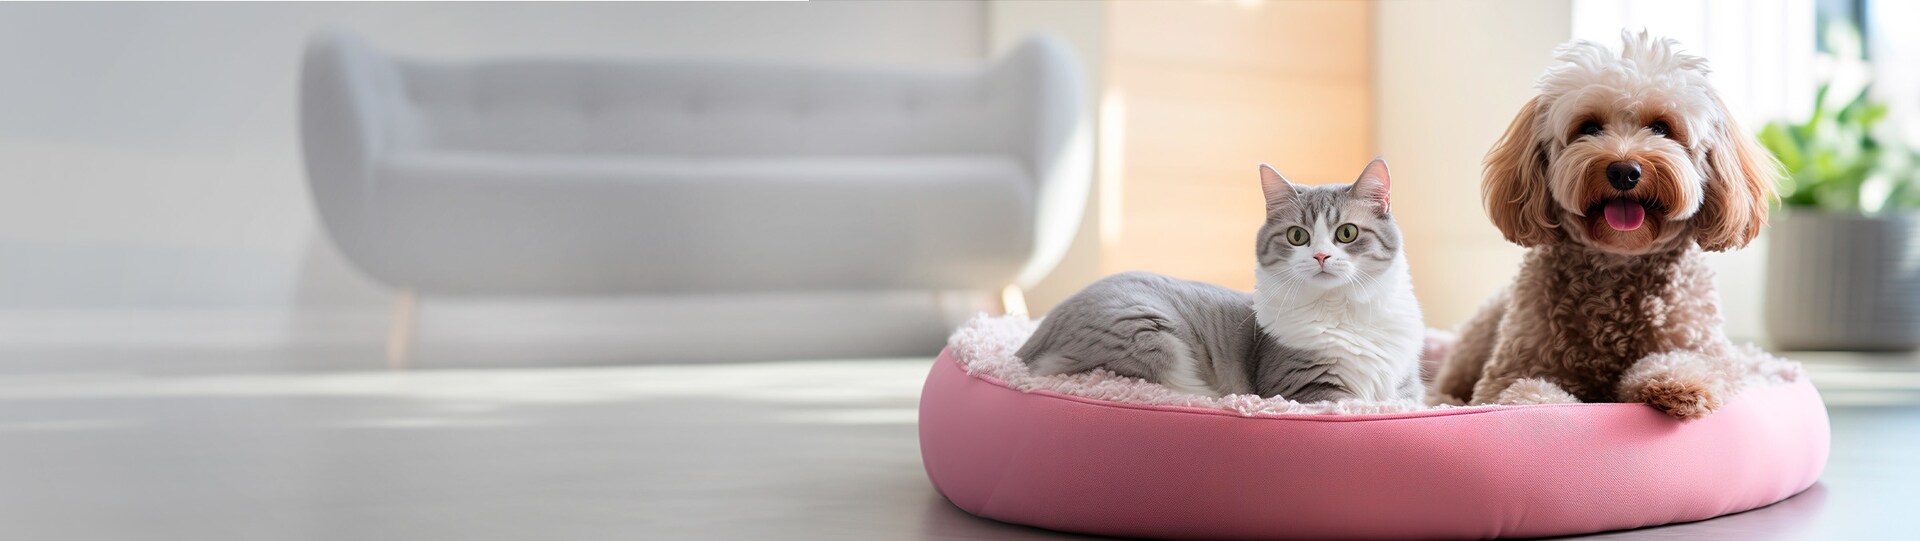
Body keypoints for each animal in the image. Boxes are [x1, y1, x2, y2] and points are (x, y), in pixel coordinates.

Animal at [1015, 159, 1425, 401]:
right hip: (1149, 336)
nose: (1321, 256)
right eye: (1298, 236)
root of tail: (1030, 343)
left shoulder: (1406, 388)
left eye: (1347, 233)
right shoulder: (1306, 385)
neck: (1344, 312)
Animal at [1429, 31, 1779, 420]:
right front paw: (1543, 408)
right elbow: (1523, 391)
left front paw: (1677, 384)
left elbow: (1689, 363)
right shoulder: (1509, 370)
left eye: (1661, 128)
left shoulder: (1710, 352)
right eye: (1589, 127)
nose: (1624, 171)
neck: (1619, 263)